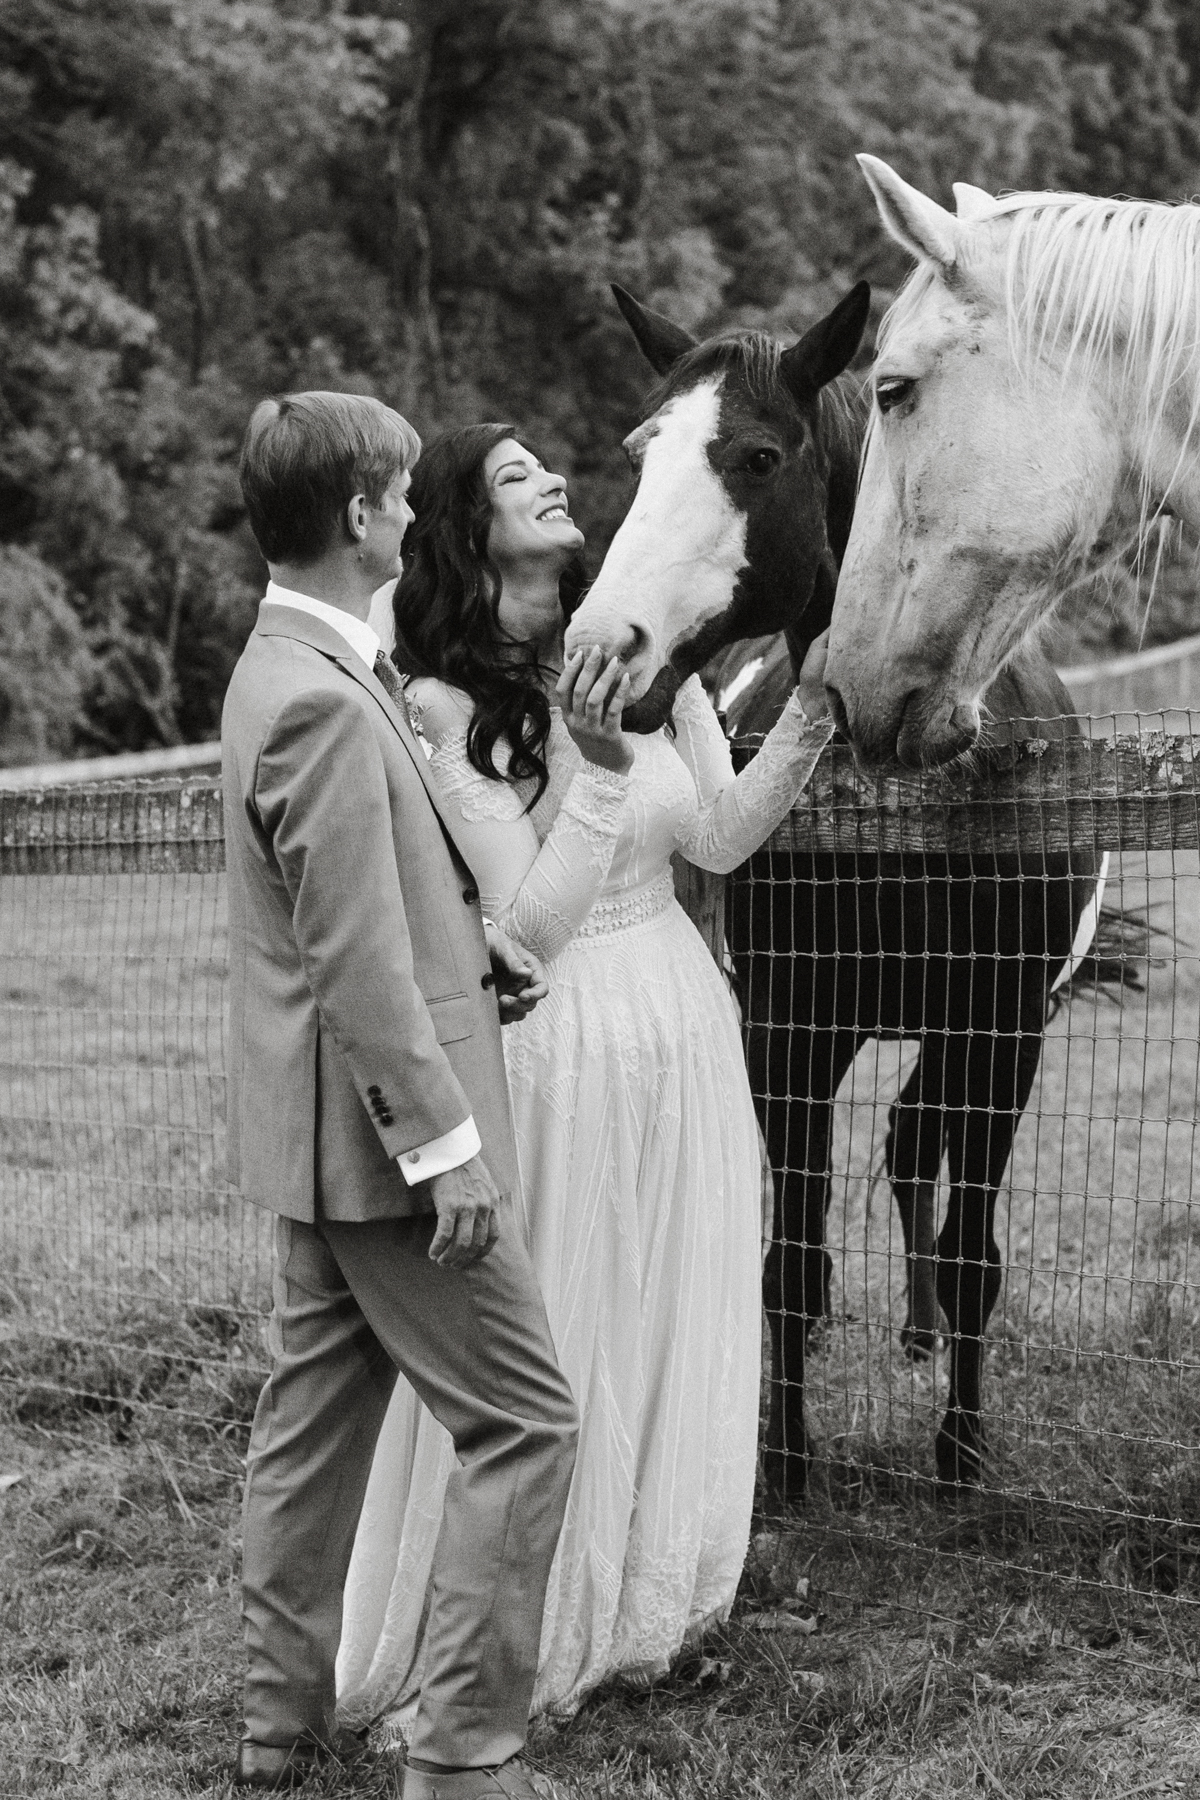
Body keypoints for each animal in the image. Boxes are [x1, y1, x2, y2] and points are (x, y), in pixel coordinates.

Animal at [568, 277, 1115, 1490]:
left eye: (759, 458)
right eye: (639, 454)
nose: (604, 652)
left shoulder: (1002, 1030)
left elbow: (973, 1253)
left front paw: (959, 1454)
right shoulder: (790, 1026)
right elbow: (791, 1247)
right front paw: (783, 1457)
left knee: (915, 1154)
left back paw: (922, 1336)